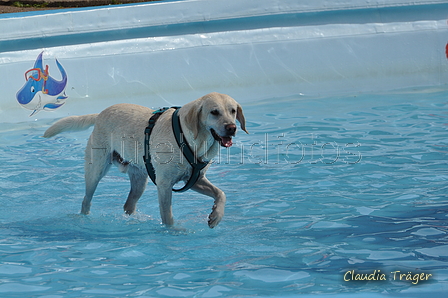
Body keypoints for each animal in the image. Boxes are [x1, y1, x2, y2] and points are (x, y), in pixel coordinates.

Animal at [43, 92, 247, 227]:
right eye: (214, 112)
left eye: (233, 111)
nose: (232, 128)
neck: (193, 140)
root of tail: (100, 113)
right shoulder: (165, 184)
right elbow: (168, 216)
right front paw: (174, 232)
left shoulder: (195, 179)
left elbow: (221, 193)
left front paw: (216, 215)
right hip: (96, 170)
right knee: (86, 200)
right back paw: (83, 218)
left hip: (140, 179)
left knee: (128, 204)